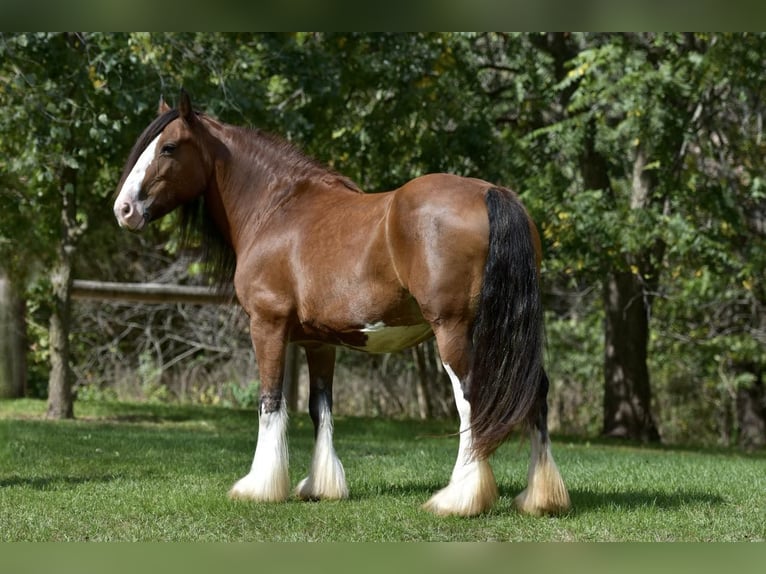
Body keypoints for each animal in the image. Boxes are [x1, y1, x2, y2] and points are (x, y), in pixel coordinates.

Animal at [114, 90, 568, 516]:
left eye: (169, 147)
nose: (124, 209)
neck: (276, 209)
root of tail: (492, 192)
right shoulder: (319, 341)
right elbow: (320, 408)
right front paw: (321, 487)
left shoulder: (267, 325)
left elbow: (269, 402)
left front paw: (259, 487)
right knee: (536, 391)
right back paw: (540, 498)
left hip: (454, 330)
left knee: (470, 401)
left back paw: (459, 498)